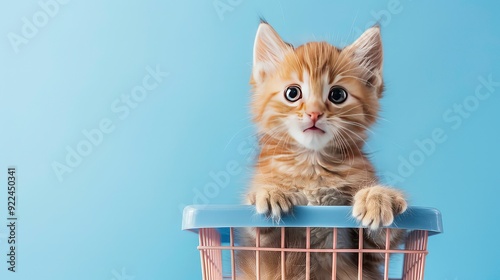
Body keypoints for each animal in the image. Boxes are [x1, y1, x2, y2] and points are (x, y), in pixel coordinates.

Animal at [237, 22, 406, 280]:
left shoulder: (366, 259)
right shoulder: (263, 257)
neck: (313, 165)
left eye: (337, 95)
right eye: (292, 93)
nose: (314, 113)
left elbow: (378, 243)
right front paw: (271, 192)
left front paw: (377, 198)